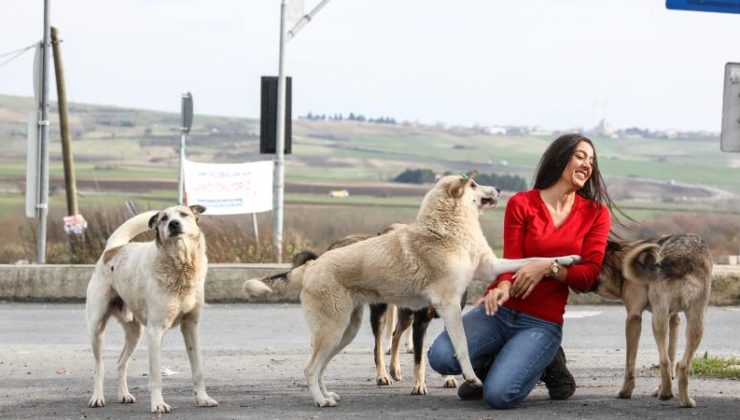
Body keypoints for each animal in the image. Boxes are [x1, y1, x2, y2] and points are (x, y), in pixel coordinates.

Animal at [85, 205, 217, 416]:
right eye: (164, 218)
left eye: (184, 214)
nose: (174, 224)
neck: (180, 266)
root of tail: (112, 249)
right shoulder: (155, 332)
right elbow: (155, 375)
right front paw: (158, 405)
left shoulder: (191, 328)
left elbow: (198, 369)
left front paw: (203, 398)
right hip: (97, 328)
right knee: (99, 366)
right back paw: (97, 398)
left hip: (135, 334)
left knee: (121, 363)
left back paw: (124, 395)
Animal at [246, 175, 580, 406]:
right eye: (473, 183)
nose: (498, 189)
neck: (448, 228)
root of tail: (312, 266)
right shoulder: (448, 307)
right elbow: (461, 347)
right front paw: (472, 378)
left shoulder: (491, 266)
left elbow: (533, 259)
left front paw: (567, 259)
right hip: (334, 330)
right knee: (310, 369)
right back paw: (320, 400)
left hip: (344, 332)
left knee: (319, 368)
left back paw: (327, 396)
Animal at [596, 233, 712, 406]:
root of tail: (682, 258)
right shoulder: (674, 318)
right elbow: (671, 354)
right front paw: (661, 387)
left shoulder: (633, 317)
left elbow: (630, 362)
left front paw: (625, 392)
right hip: (693, 320)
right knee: (679, 364)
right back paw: (681, 399)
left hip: (660, 316)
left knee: (664, 361)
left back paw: (666, 394)